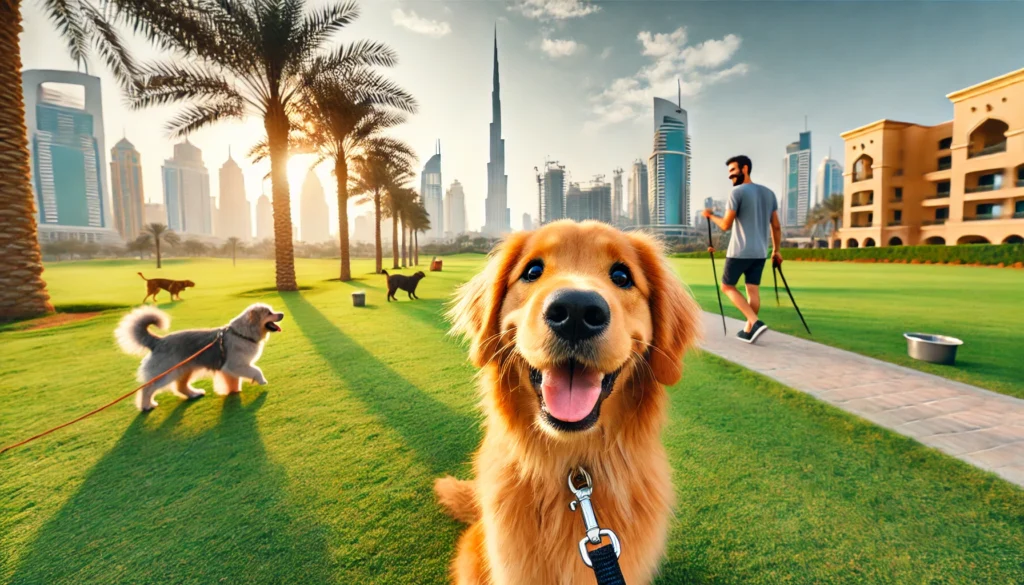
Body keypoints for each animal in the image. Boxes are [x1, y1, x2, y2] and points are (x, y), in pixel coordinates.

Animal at [116, 305, 284, 409]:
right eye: (269, 313)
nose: (282, 314)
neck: (241, 334)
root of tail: (158, 341)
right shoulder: (237, 365)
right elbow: (256, 370)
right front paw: (261, 380)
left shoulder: (230, 369)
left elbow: (233, 381)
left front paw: (233, 391)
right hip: (166, 372)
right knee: (147, 388)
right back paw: (146, 405)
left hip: (185, 369)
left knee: (180, 387)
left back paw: (194, 394)